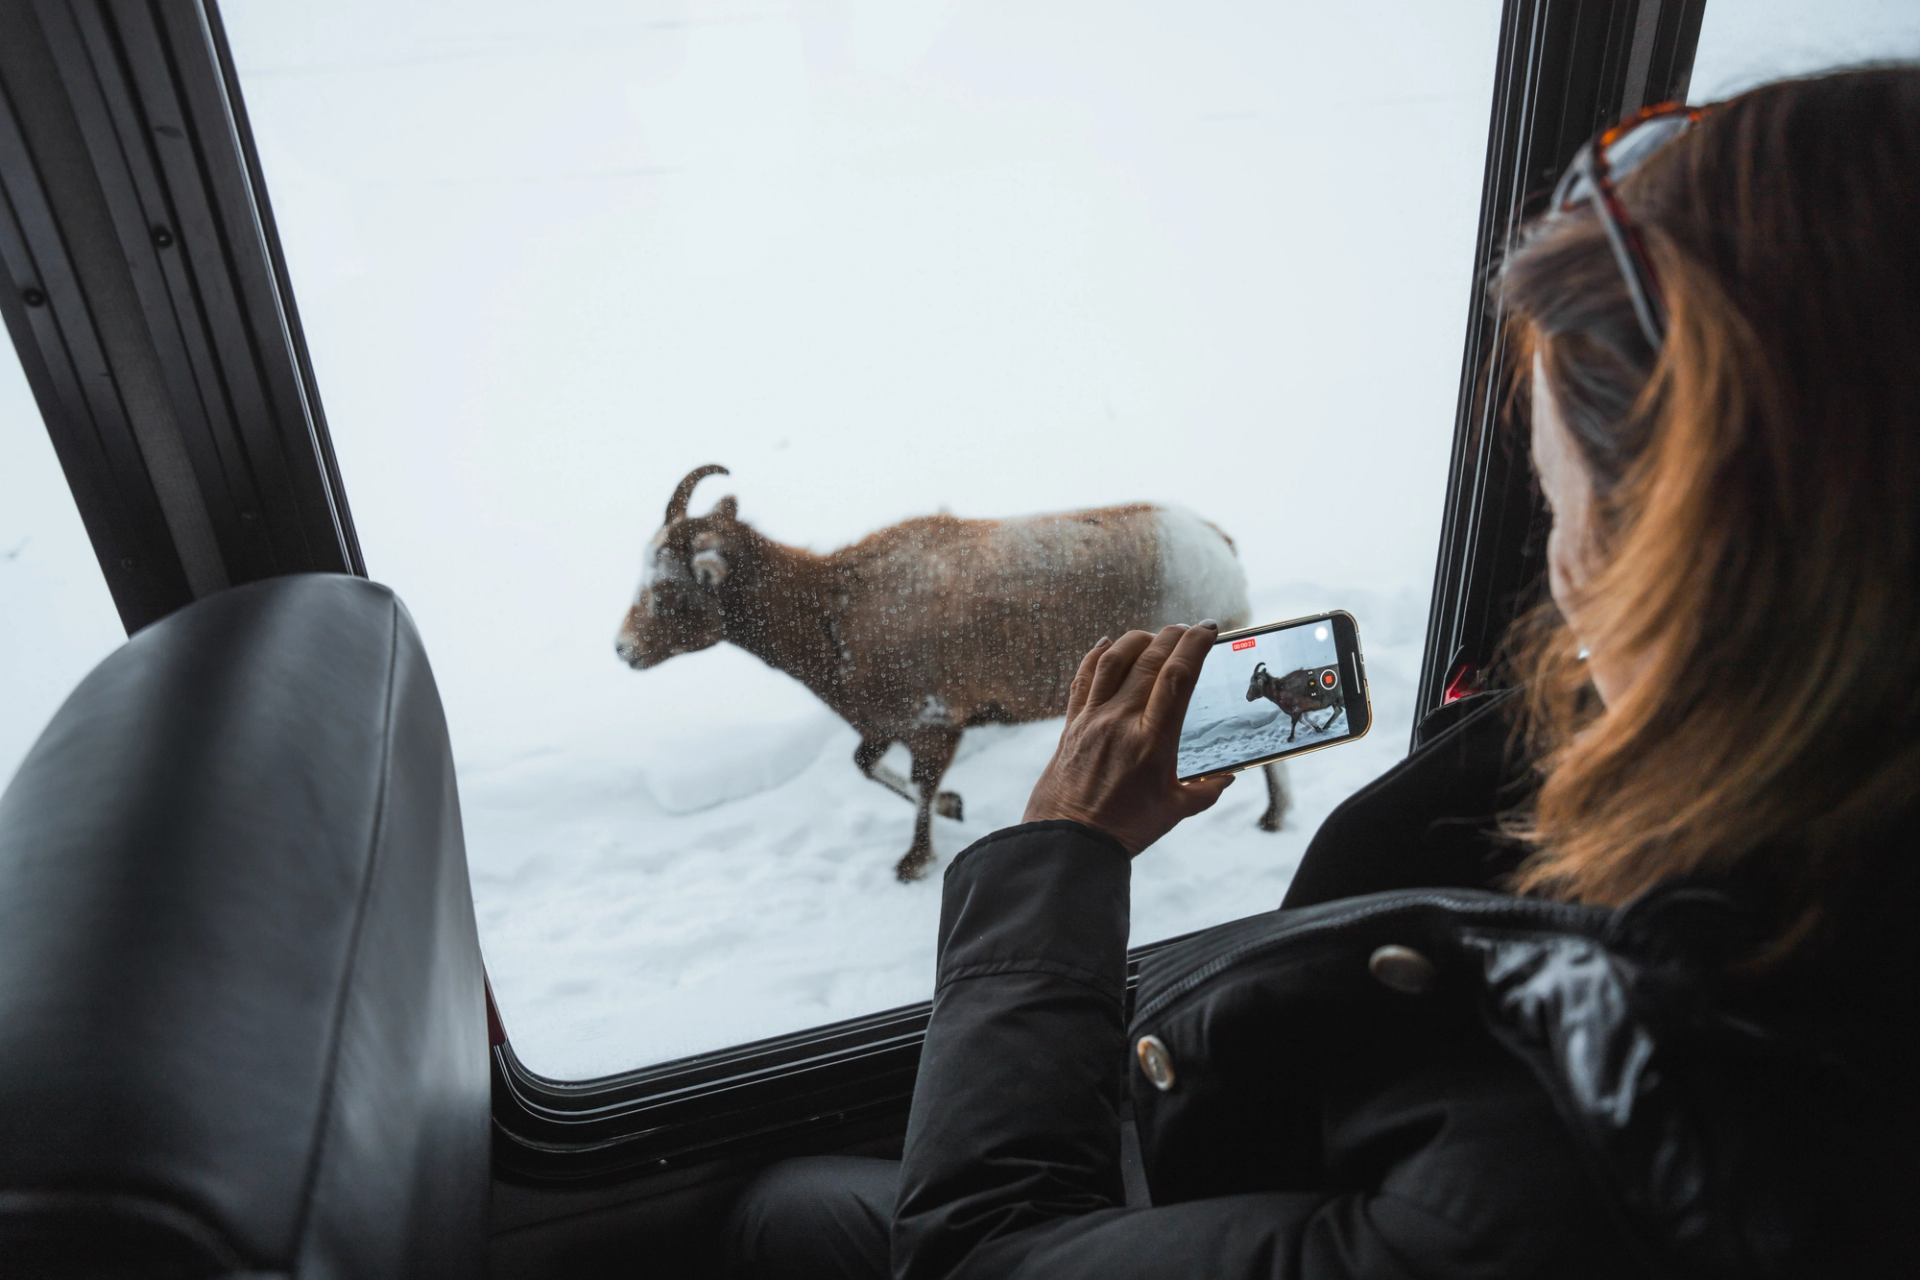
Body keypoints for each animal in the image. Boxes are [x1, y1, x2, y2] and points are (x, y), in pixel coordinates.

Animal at [615, 463, 1289, 881]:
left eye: (667, 590)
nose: (623, 650)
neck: (837, 609)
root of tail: (1215, 545)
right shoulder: (888, 727)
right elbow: (870, 768)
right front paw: (956, 809)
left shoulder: (936, 725)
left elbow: (918, 787)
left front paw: (913, 864)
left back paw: (1274, 819)